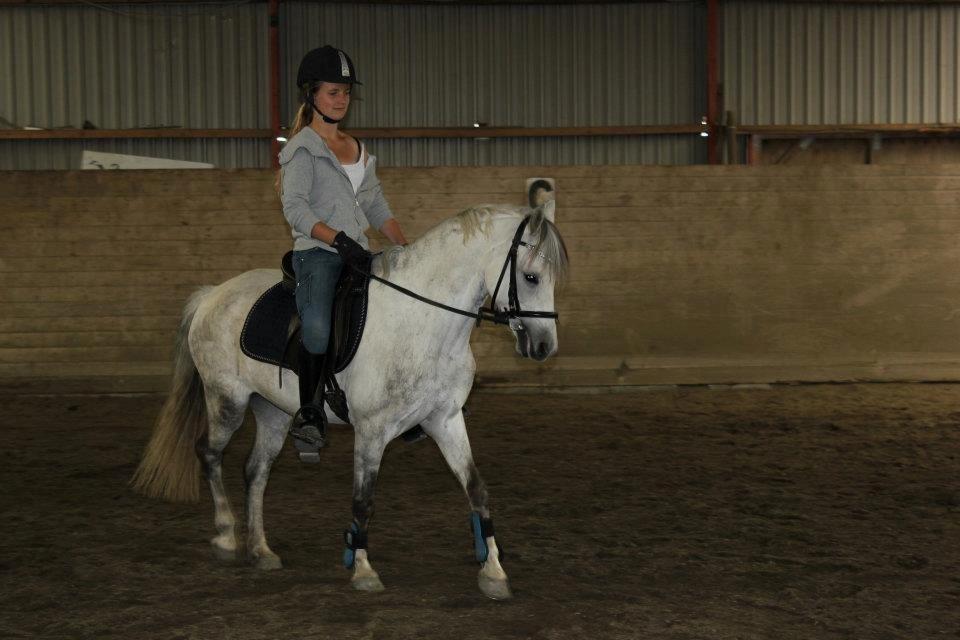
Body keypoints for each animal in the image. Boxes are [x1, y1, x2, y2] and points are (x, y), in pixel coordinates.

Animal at [131, 200, 568, 599]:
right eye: (530, 277)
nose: (544, 347)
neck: (423, 323)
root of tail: (212, 295)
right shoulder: (372, 430)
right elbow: (363, 501)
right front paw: (363, 571)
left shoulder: (445, 419)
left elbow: (477, 489)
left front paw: (493, 571)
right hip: (227, 401)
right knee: (209, 453)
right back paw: (225, 536)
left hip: (273, 412)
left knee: (255, 472)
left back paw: (261, 550)